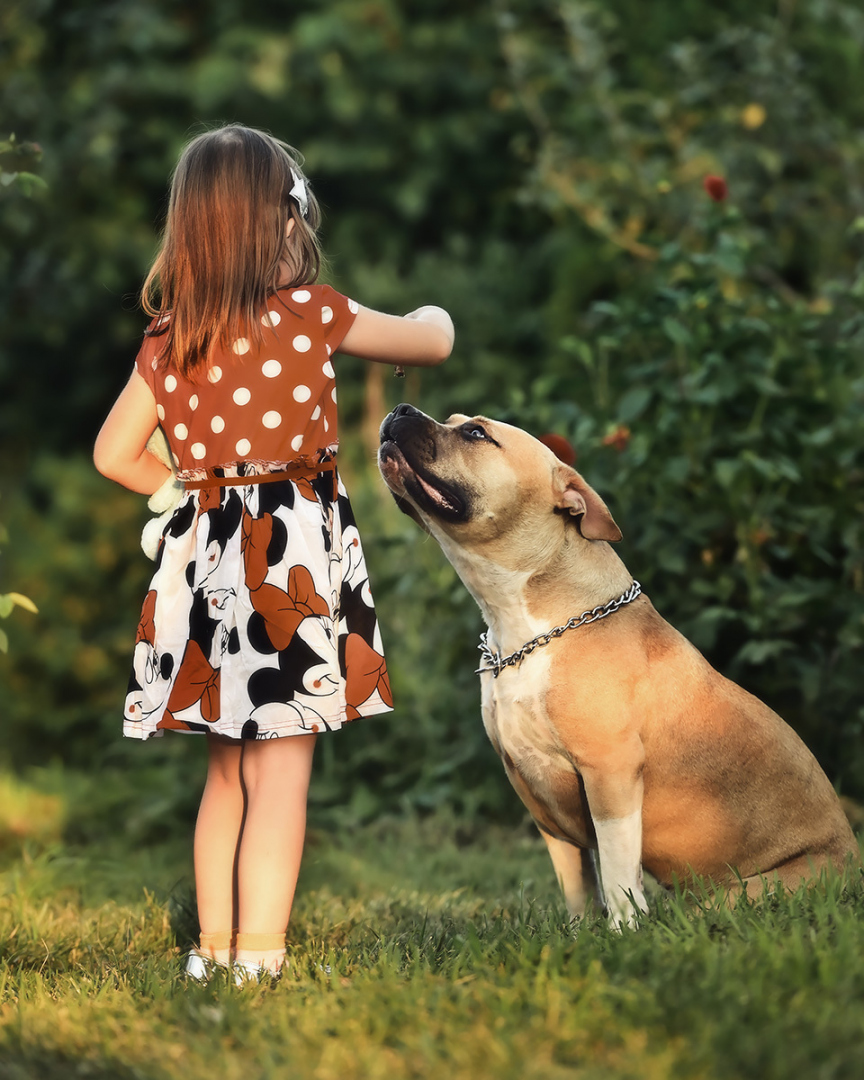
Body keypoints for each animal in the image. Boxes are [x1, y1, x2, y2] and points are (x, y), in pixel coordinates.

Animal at [378, 401, 855, 924]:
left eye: (476, 434)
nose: (400, 409)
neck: (524, 630)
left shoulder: (610, 773)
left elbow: (618, 869)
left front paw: (625, 929)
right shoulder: (542, 801)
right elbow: (577, 882)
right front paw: (580, 930)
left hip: (733, 895)